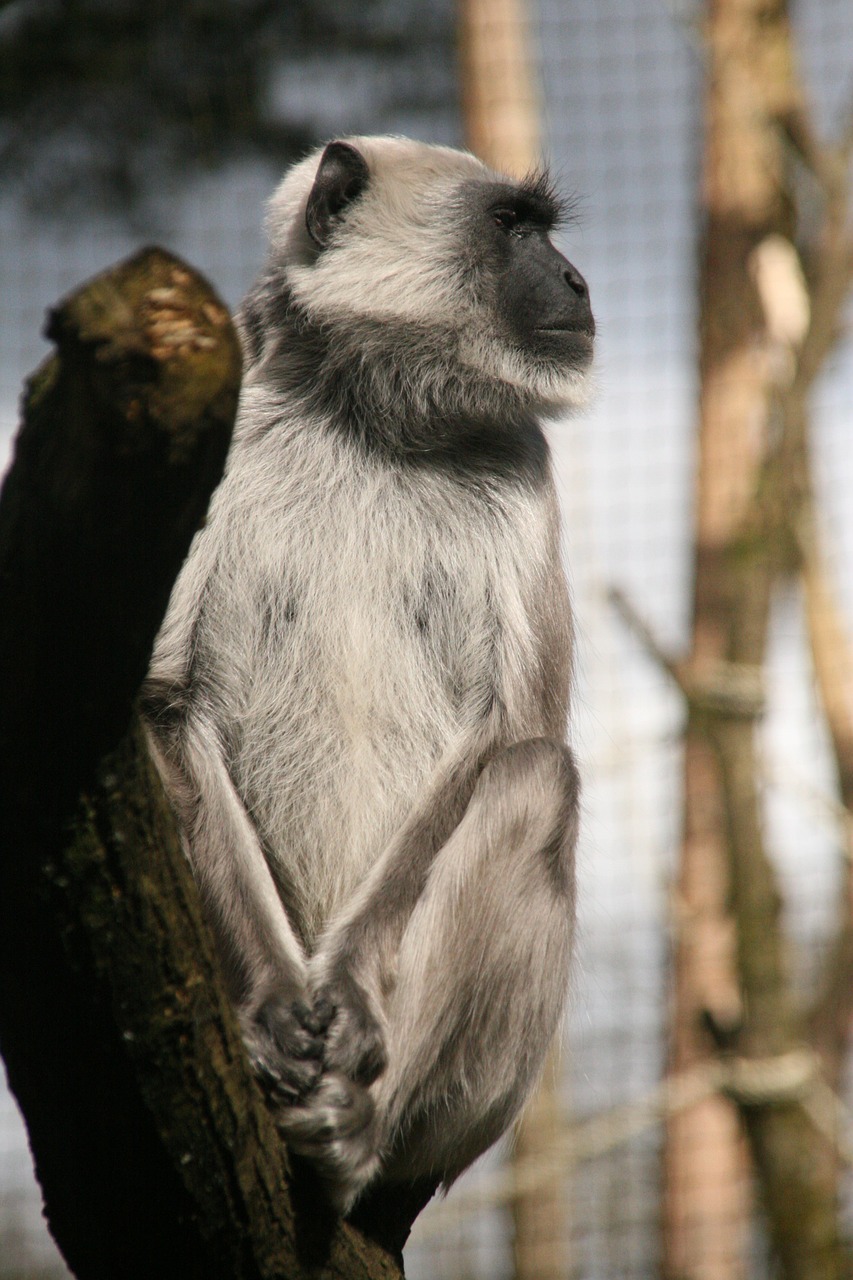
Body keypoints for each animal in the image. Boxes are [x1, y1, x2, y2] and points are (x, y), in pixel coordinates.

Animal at [140, 135, 591, 1213]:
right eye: (510, 226)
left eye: (539, 229)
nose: (575, 281)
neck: (365, 418)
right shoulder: (227, 428)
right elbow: (165, 704)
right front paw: (274, 1003)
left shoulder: (520, 458)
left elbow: (512, 728)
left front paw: (338, 999)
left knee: (534, 776)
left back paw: (359, 1130)